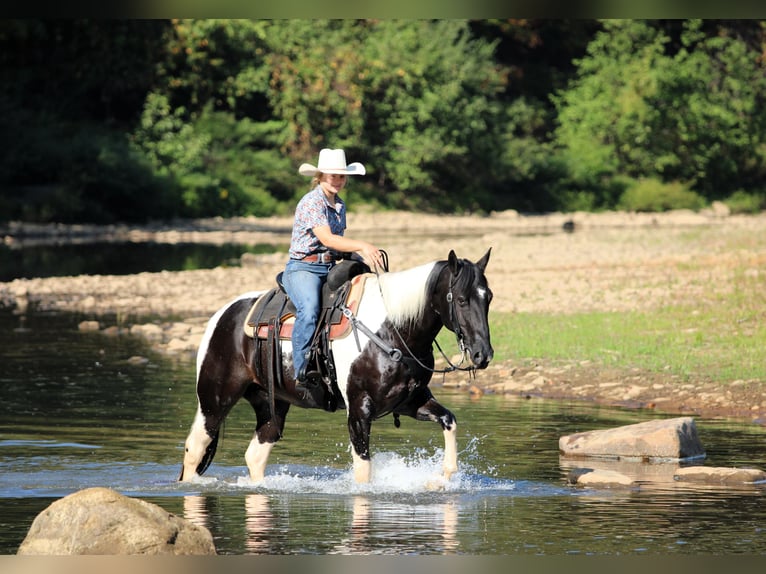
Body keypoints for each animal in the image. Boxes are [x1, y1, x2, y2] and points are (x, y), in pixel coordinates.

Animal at [179, 248, 493, 484]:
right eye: (461, 299)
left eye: (488, 297)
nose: (483, 354)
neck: (392, 329)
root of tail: (223, 314)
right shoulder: (359, 409)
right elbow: (364, 472)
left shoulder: (409, 401)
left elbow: (449, 420)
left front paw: (442, 478)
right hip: (214, 400)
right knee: (196, 448)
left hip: (271, 403)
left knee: (255, 455)